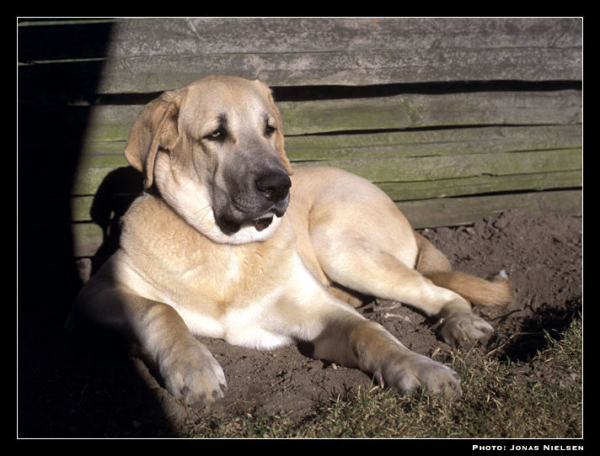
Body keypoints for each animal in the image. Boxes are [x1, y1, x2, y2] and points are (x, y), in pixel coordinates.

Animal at [70, 75, 510, 406]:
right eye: (215, 134)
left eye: (270, 129)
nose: (279, 185)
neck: (227, 248)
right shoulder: (97, 293)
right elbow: (160, 310)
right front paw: (194, 367)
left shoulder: (320, 311)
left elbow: (370, 332)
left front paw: (420, 367)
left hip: (336, 242)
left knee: (439, 291)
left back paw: (461, 322)